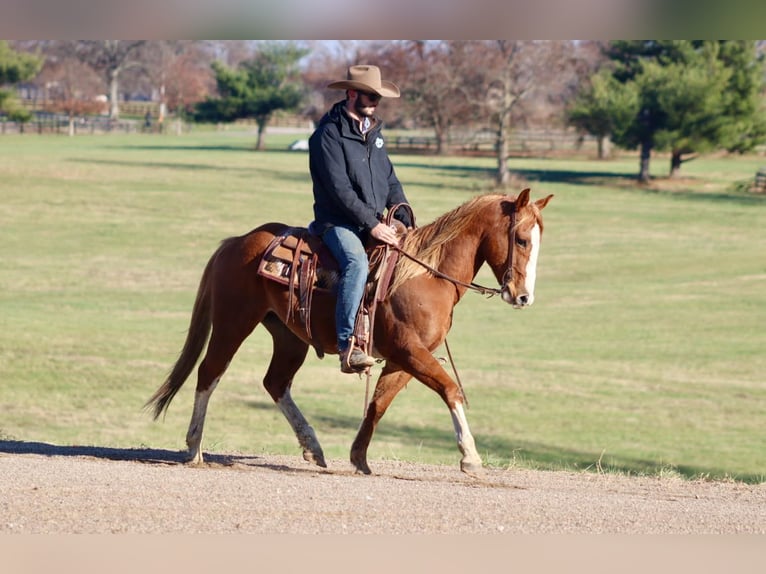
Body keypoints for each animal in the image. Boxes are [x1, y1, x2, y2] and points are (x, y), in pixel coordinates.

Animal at [146, 188, 553, 476]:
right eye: (521, 240)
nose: (523, 297)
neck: (425, 275)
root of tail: (234, 243)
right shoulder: (409, 351)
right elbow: (451, 390)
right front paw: (470, 456)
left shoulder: (403, 360)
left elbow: (378, 404)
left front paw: (359, 457)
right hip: (233, 323)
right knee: (209, 373)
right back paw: (194, 447)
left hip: (289, 337)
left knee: (275, 383)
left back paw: (313, 446)